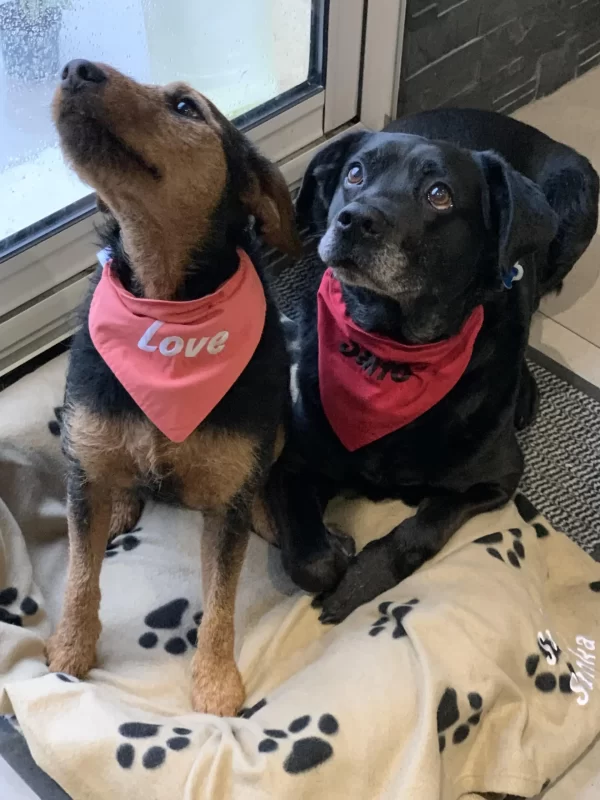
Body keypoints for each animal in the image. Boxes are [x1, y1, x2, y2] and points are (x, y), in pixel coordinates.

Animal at [47, 59, 302, 716]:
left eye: (187, 107)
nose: (75, 68)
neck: (166, 304)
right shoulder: (83, 467)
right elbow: (80, 574)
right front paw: (69, 650)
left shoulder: (228, 503)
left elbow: (222, 600)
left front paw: (214, 681)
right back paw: (120, 502)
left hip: (279, 422)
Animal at [274, 106, 596, 620]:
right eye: (354, 173)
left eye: (439, 195)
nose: (353, 220)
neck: (389, 348)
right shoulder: (294, 460)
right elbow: (308, 560)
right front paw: (335, 551)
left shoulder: (498, 479)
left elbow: (423, 527)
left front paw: (361, 580)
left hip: (580, 199)